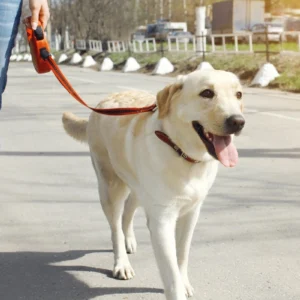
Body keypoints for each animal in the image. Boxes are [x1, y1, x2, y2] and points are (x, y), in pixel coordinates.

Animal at [62, 69, 245, 298]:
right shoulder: (162, 221)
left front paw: (184, 282)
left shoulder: (191, 213)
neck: (182, 153)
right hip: (110, 187)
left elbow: (182, 253)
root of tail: (102, 104)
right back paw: (122, 262)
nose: (238, 122)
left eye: (238, 94)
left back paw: (129, 239)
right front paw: (177, 289)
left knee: (128, 212)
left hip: (139, 189)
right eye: (207, 93)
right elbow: (171, 273)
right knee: (115, 227)